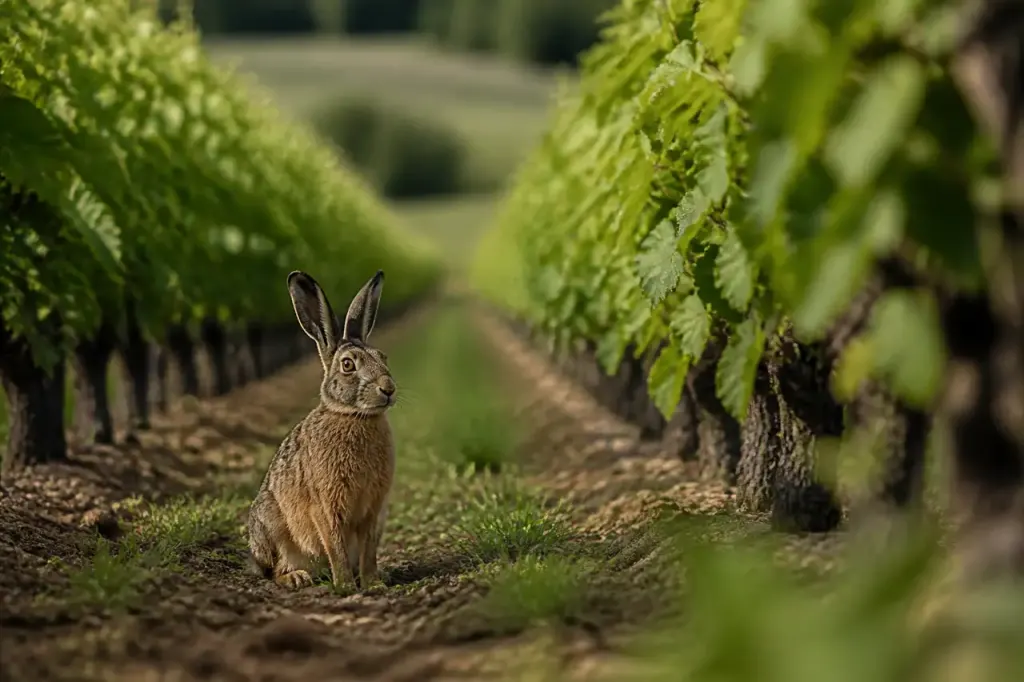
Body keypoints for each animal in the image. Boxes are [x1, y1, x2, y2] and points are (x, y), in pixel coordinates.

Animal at [247, 269, 397, 591]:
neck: (354, 416)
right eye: (348, 365)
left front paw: (373, 583)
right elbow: (335, 544)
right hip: (271, 527)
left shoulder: (373, 509)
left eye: (383, 357)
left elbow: (368, 550)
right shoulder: (326, 505)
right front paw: (345, 587)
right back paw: (296, 578)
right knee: (274, 569)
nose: (388, 389)